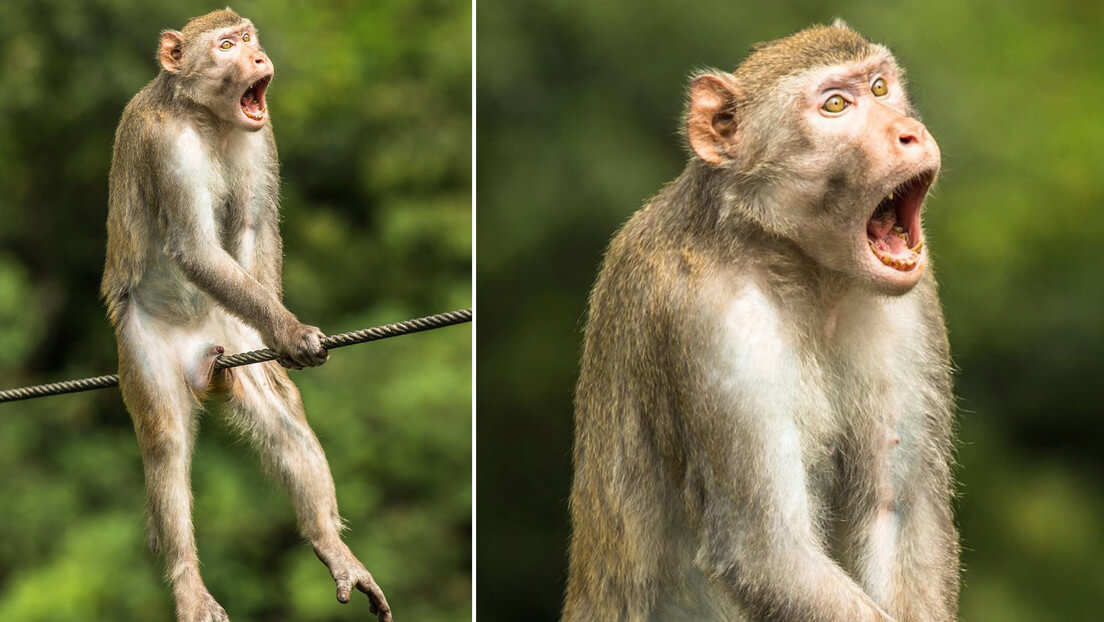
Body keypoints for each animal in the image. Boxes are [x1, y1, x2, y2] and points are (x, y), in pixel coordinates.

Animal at [100, 9, 393, 622]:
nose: (257, 57)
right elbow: (194, 248)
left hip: (229, 335)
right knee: (164, 441)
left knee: (281, 416)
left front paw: (281, 336)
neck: (206, 117)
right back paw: (189, 585)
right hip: (143, 347)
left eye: (248, 38)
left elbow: (256, 228)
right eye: (226, 45)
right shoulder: (166, 144)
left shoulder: (262, 136)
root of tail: (203, 360)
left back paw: (332, 547)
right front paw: (290, 330)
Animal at [560, 20, 958, 622]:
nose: (909, 132)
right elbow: (767, 548)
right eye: (835, 105)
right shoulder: (710, 320)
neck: (797, 267)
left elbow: (897, 510)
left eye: (880, 88)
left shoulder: (909, 305)